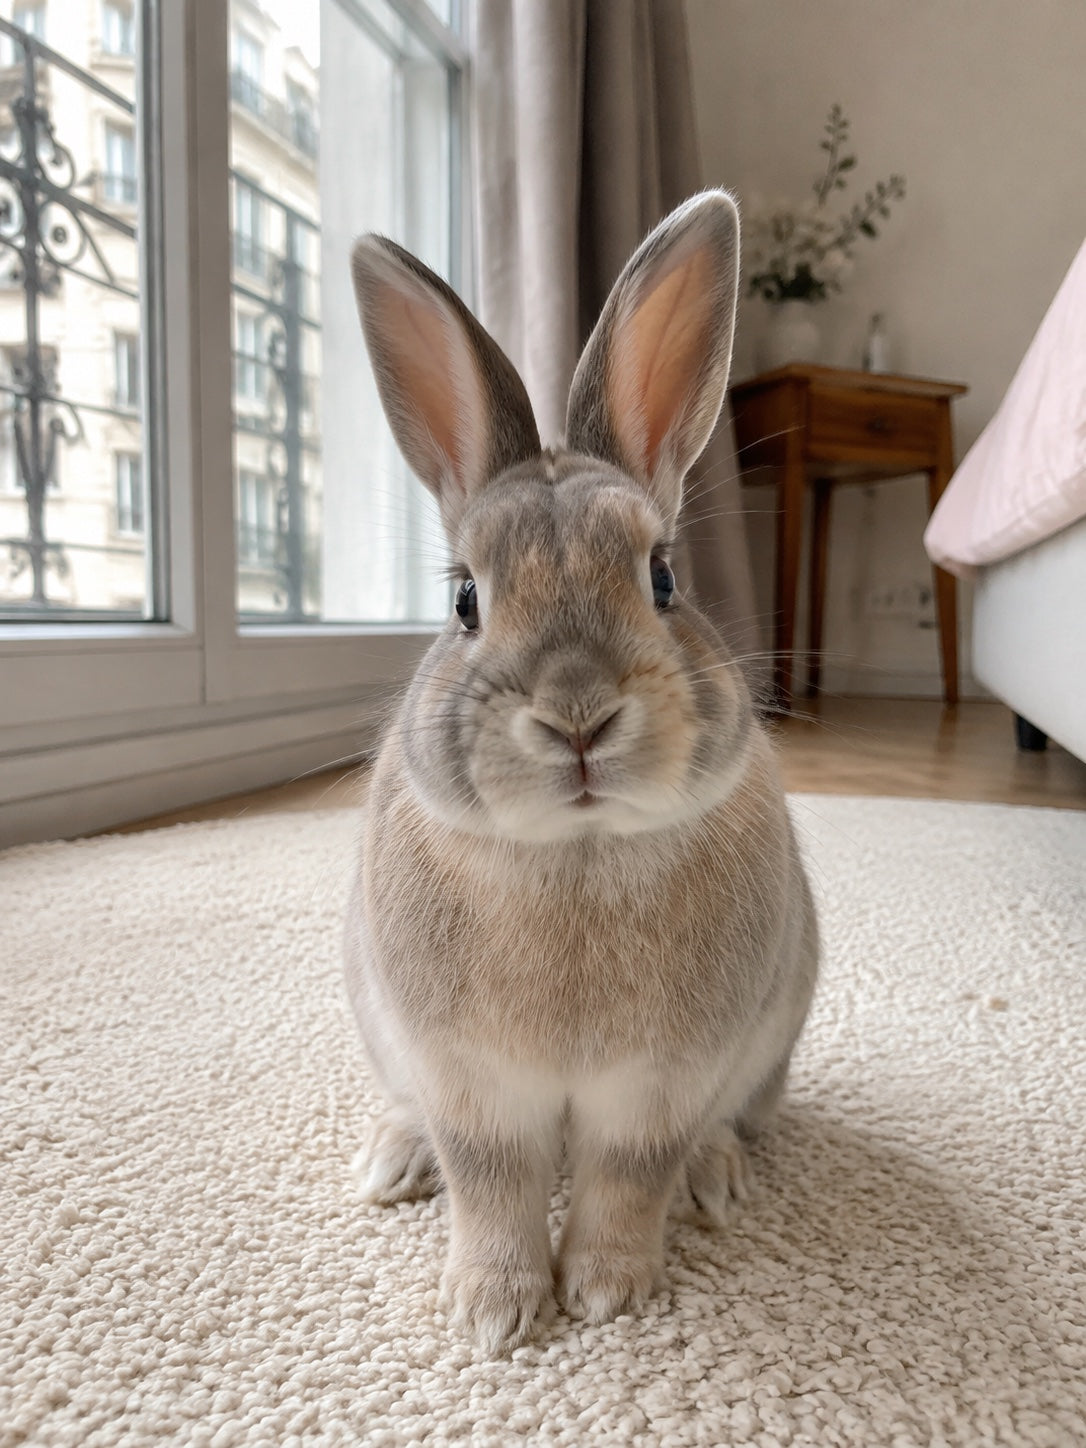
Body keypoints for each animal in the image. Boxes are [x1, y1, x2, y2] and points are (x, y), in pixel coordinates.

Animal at [344, 190, 819, 1355]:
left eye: (664, 577)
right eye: (466, 599)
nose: (576, 716)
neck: (578, 851)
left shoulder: (657, 1090)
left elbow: (626, 1179)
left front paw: (606, 1291)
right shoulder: (472, 1088)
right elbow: (492, 1185)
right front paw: (493, 1312)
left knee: (714, 1134)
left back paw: (717, 1178)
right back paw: (394, 1160)